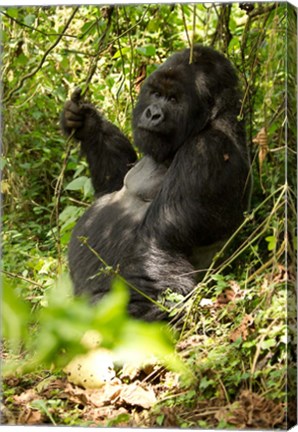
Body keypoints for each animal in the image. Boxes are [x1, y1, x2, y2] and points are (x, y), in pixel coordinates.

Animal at [61, 44, 251, 320]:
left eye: (173, 100)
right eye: (156, 93)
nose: (152, 113)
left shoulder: (207, 151)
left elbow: (158, 242)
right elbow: (114, 182)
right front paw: (85, 121)